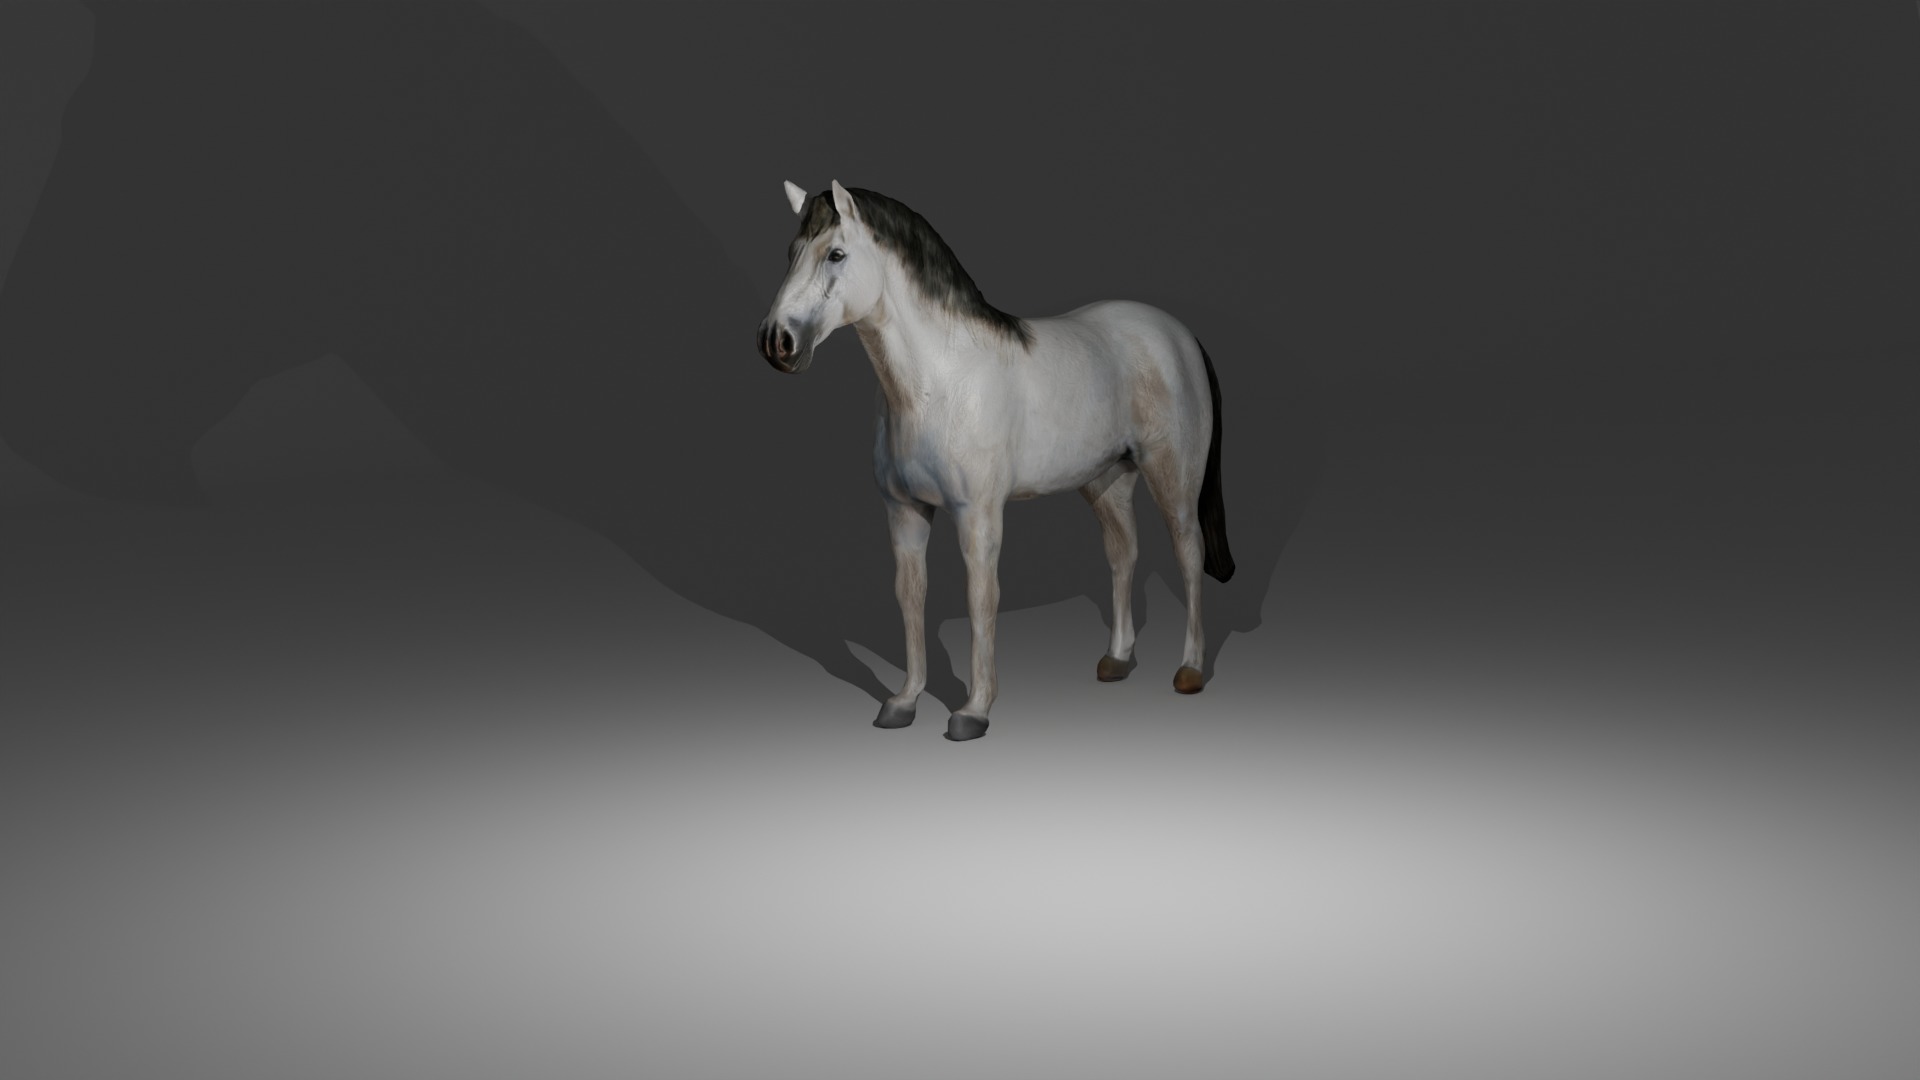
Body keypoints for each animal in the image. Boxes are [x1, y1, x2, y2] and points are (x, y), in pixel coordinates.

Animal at [758, 181, 1233, 741]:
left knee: (1188, 554)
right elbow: (910, 597)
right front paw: (903, 702)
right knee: (1123, 553)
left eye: (835, 254)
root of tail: (1179, 336)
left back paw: (1190, 670)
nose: (776, 342)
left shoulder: (978, 515)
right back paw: (1116, 660)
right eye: (791, 253)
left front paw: (973, 711)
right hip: (1106, 481)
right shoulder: (904, 513)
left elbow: (981, 600)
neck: (939, 384)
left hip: (1174, 479)